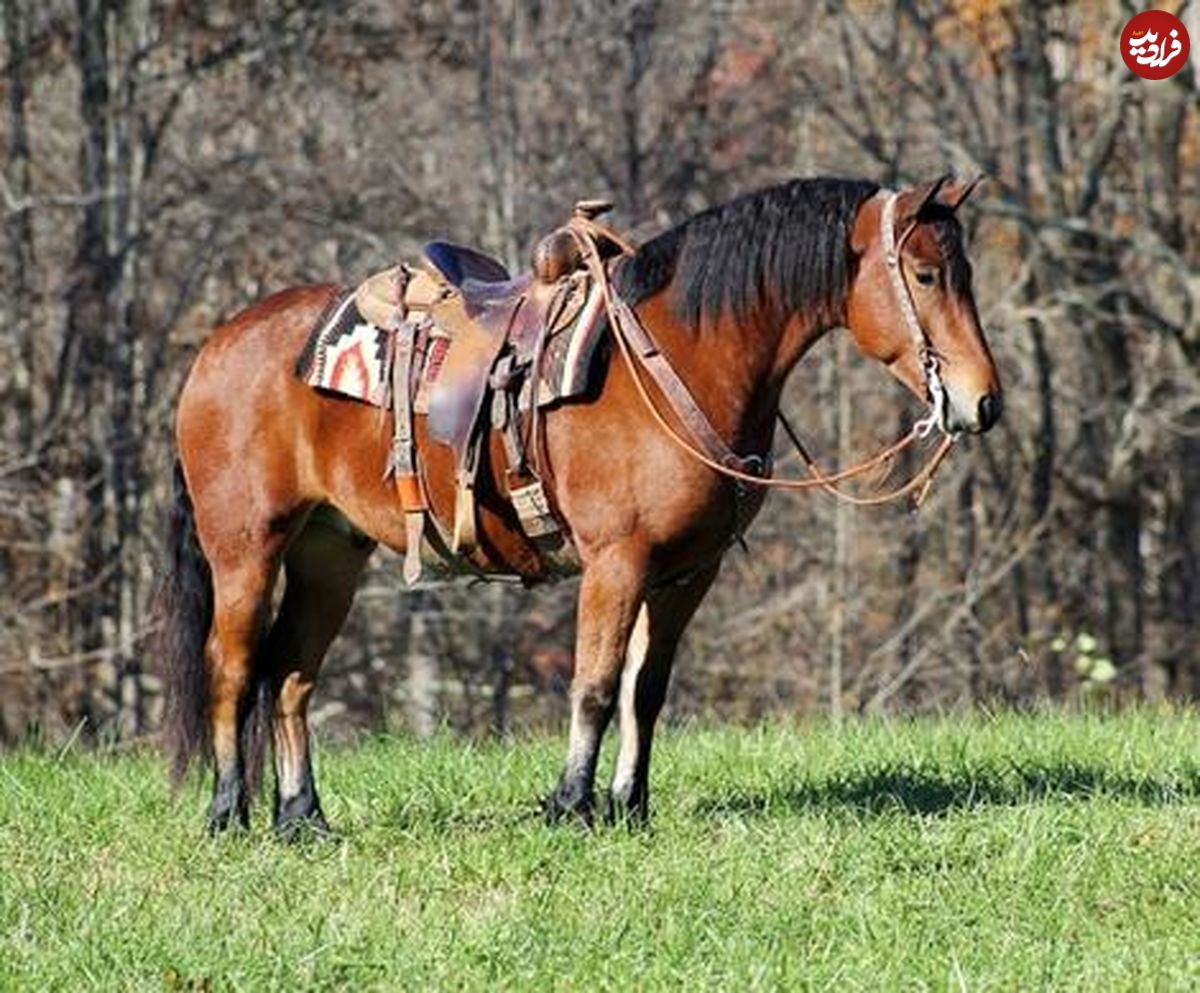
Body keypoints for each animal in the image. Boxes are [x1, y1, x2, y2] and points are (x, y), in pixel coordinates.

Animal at [159, 175, 1003, 834]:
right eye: (925, 274)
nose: (983, 402)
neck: (680, 354)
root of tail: (216, 346)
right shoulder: (616, 562)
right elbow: (594, 684)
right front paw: (571, 803)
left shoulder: (686, 574)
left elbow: (645, 690)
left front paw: (631, 806)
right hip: (246, 547)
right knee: (233, 667)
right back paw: (229, 813)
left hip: (329, 553)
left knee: (290, 674)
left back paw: (303, 817)